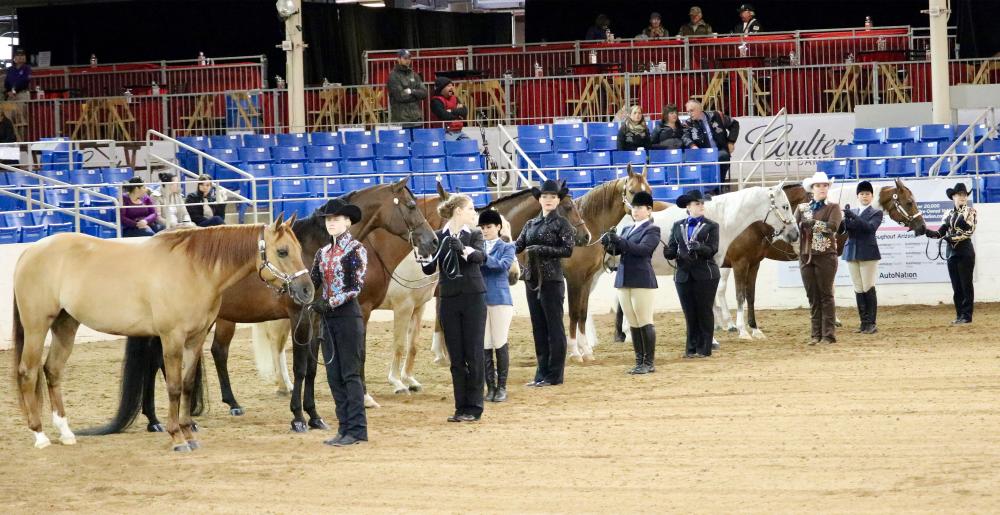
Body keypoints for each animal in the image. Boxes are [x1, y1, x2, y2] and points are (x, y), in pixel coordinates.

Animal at [9, 220, 310, 454]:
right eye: (282, 251)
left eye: (299, 249)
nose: (307, 290)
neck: (194, 269)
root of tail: (31, 251)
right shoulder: (172, 338)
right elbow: (174, 387)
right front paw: (177, 437)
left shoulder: (195, 339)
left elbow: (187, 385)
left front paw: (189, 433)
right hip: (37, 327)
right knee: (28, 372)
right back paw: (40, 435)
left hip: (65, 325)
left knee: (52, 371)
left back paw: (66, 433)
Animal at [87, 181, 442, 436]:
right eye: (412, 205)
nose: (432, 241)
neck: (312, 248)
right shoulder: (300, 316)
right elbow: (300, 368)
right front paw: (298, 417)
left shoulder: (316, 317)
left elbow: (312, 368)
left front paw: (314, 416)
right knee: (159, 363)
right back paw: (165, 420)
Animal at [716, 177, 924, 338]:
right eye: (909, 202)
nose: (922, 227)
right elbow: (829, 286)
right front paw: (834, 319)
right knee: (721, 290)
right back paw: (729, 324)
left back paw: (722, 324)